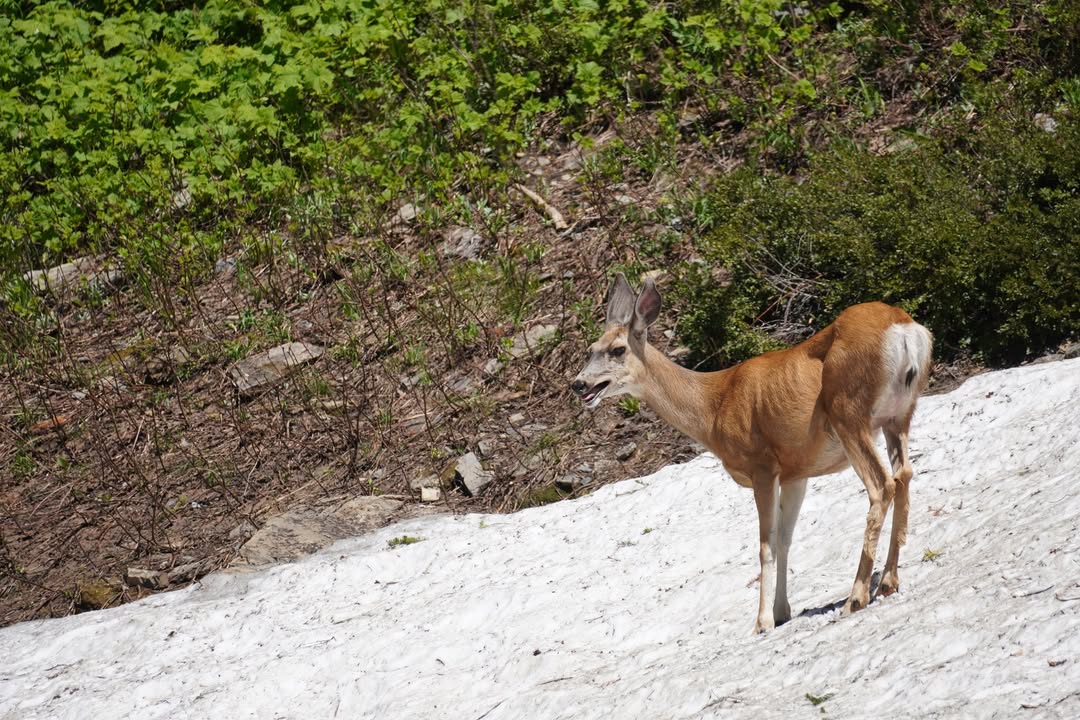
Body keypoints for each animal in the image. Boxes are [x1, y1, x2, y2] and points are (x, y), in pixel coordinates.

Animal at [571, 273, 933, 633]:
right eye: (589, 350)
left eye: (618, 350)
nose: (578, 384)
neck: (713, 407)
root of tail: (905, 331)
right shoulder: (796, 471)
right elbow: (785, 539)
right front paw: (782, 611)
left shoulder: (762, 464)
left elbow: (766, 546)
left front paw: (762, 621)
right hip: (898, 415)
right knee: (904, 475)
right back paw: (887, 582)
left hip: (849, 413)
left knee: (882, 485)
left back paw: (855, 598)